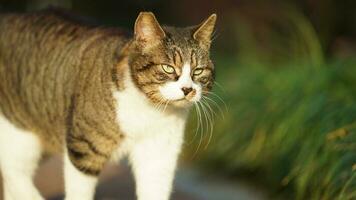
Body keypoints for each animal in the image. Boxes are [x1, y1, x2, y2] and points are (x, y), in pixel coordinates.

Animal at [0, 8, 217, 200]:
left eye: (198, 71)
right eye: (168, 68)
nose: (188, 89)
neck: (150, 110)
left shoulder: (159, 154)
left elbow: (155, 188)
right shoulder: (84, 149)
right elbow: (79, 193)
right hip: (19, 131)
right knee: (13, 171)